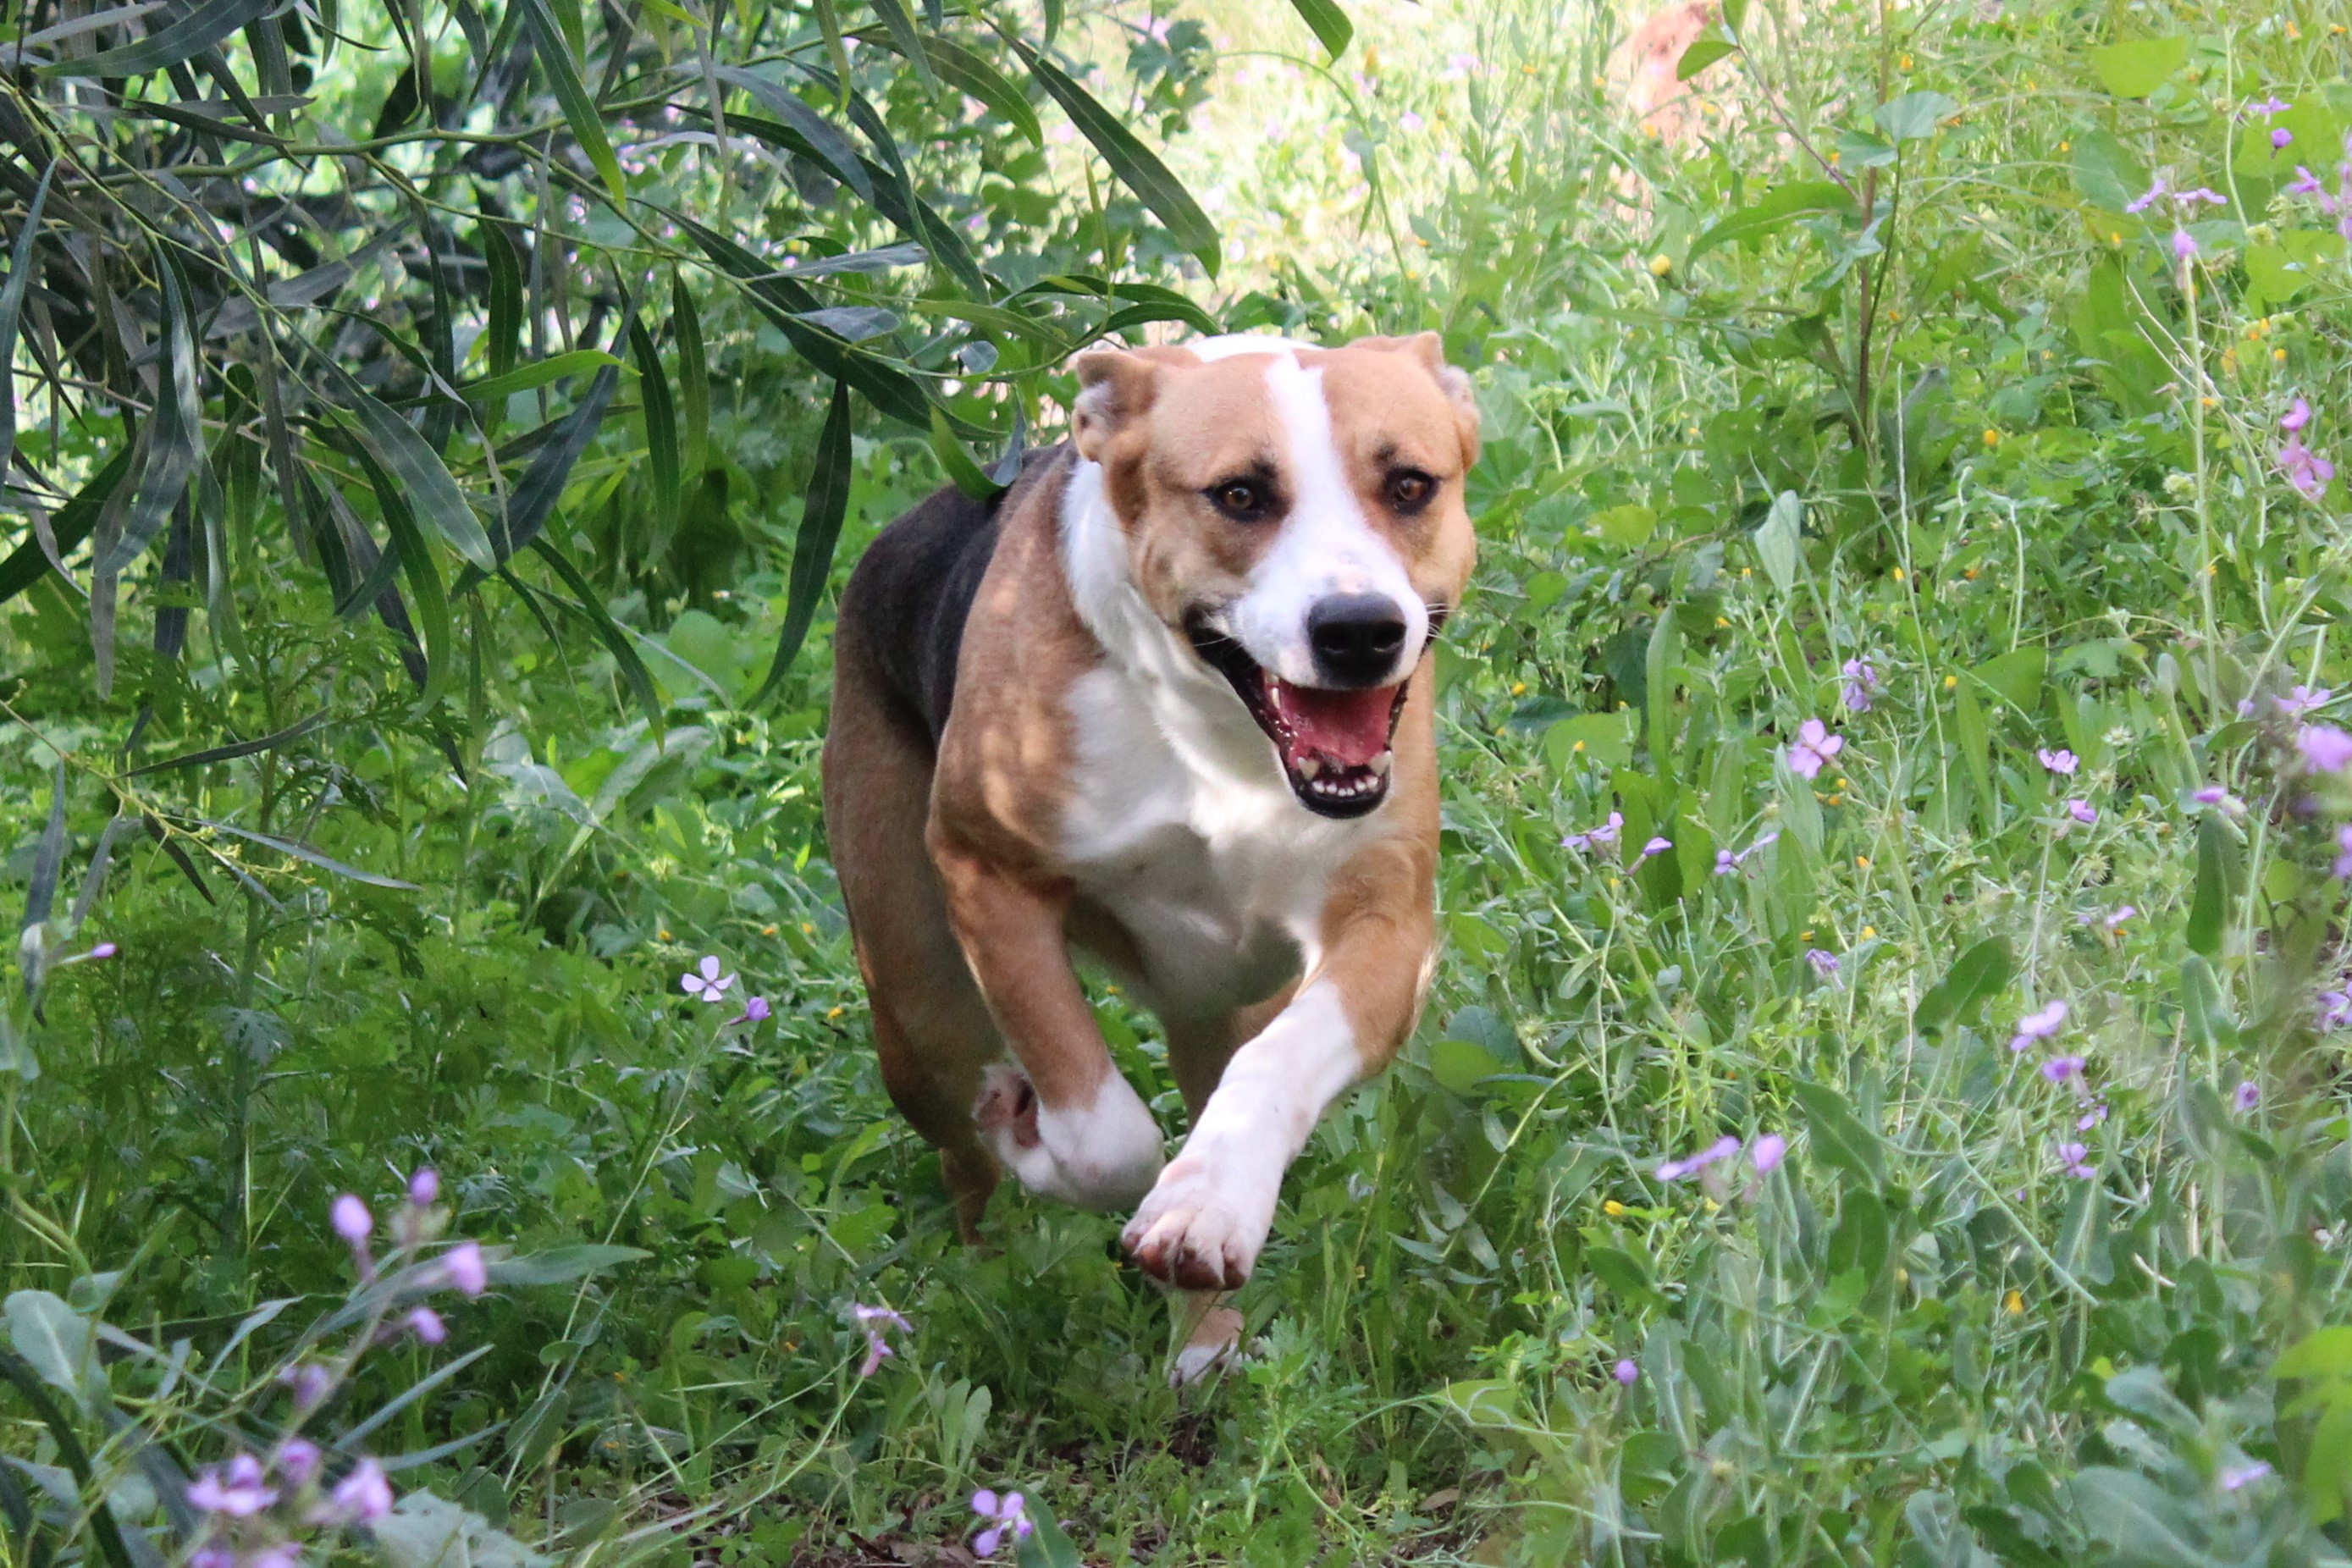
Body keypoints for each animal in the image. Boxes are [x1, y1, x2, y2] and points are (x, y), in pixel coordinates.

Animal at [827, 338, 1477, 1382]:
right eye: (1240, 495)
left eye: (1411, 484)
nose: (1359, 629)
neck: (1217, 731)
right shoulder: (986, 874)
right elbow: (1104, 1137)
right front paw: (1035, 1138)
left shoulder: (1387, 922)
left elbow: (1277, 1063)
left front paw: (1205, 1209)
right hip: (917, 998)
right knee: (961, 1152)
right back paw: (987, 1260)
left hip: (1212, 1005)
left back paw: (1202, 1334)